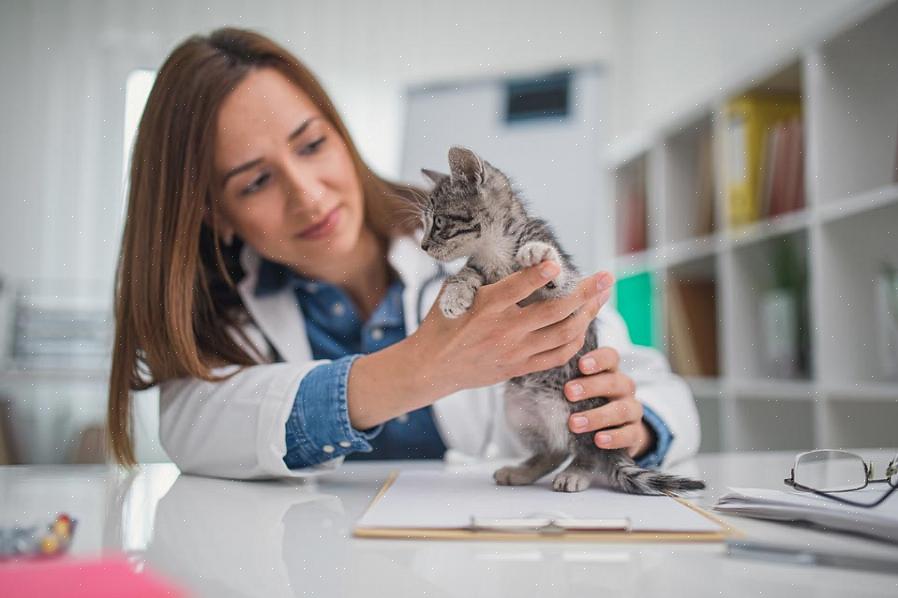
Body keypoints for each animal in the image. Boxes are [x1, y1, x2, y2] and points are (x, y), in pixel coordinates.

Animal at [416, 146, 704, 496]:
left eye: (438, 222)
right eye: (425, 223)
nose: (423, 245)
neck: (495, 250)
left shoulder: (570, 291)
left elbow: (559, 275)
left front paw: (539, 255)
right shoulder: (480, 270)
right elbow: (464, 273)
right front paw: (453, 296)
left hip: (576, 410)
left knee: (587, 448)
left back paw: (576, 472)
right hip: (517, 407)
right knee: (554, 449)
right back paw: (522, 470)